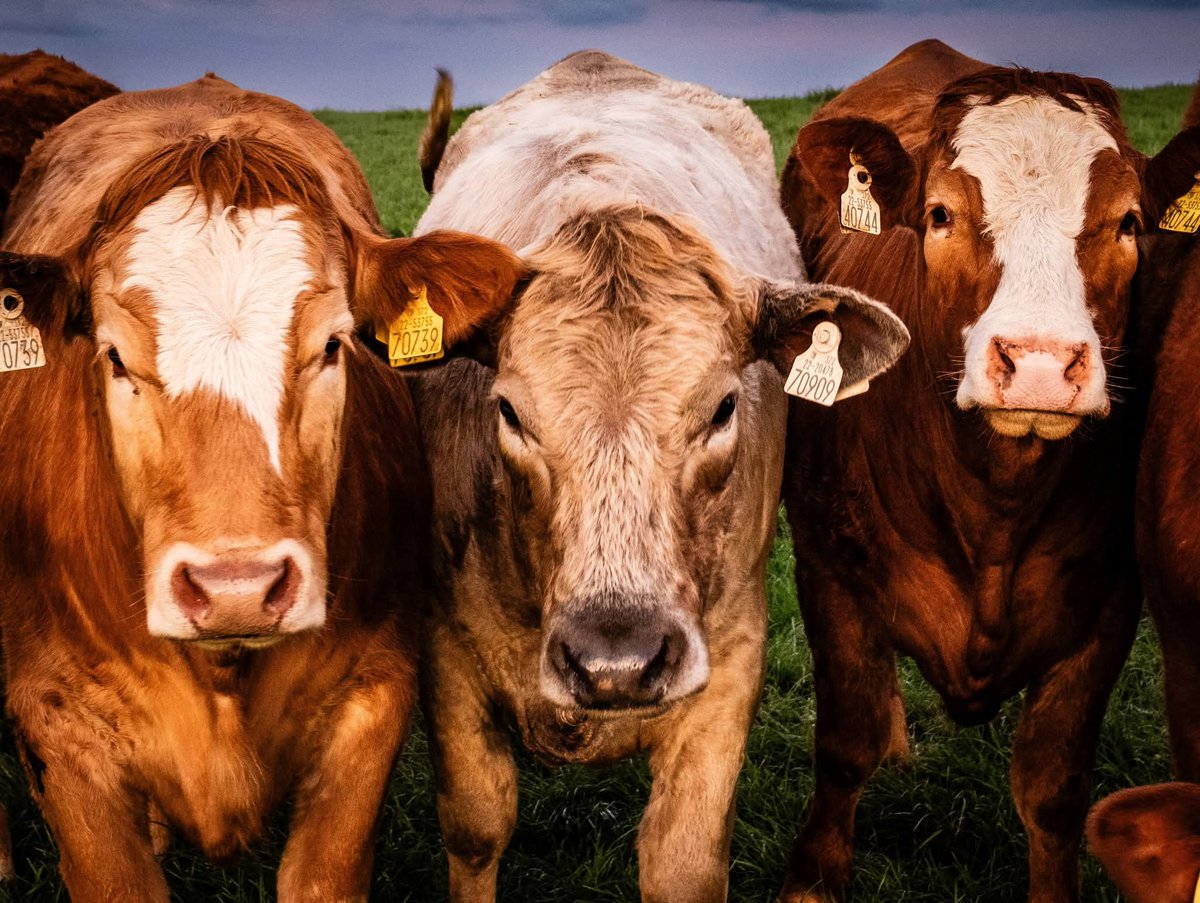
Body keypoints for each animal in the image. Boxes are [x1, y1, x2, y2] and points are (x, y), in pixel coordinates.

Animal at [412, 50, 909, 903]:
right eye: (508, 410)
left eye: (723, 406)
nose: (617, 661)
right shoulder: (446, 649)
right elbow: (477, 826)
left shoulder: (734, 651)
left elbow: (681, 859)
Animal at [776, 38, 1199, 902]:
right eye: (940, 214)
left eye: (1129, 223)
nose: (1038, 363)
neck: (992, 505)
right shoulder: (827, 570)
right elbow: (842, 741)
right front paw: (811, 878)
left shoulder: (1109, 603)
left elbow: (1054, 788)